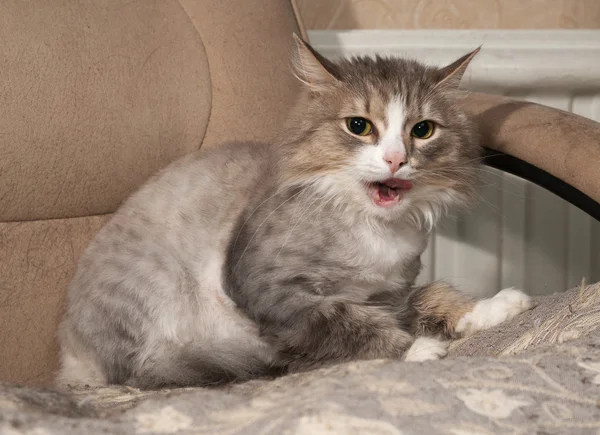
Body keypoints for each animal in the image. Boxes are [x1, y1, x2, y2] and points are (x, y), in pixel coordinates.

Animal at [58, 35, 532, 390]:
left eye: (423, 130)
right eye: (359, 126)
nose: (397, 159)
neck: (372, 228)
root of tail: (71, 356)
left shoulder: (388, 291)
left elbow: (432, 295)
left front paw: (491, 308)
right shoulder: (271, 287)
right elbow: (348, 323)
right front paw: (416, 349)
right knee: (141, 373)